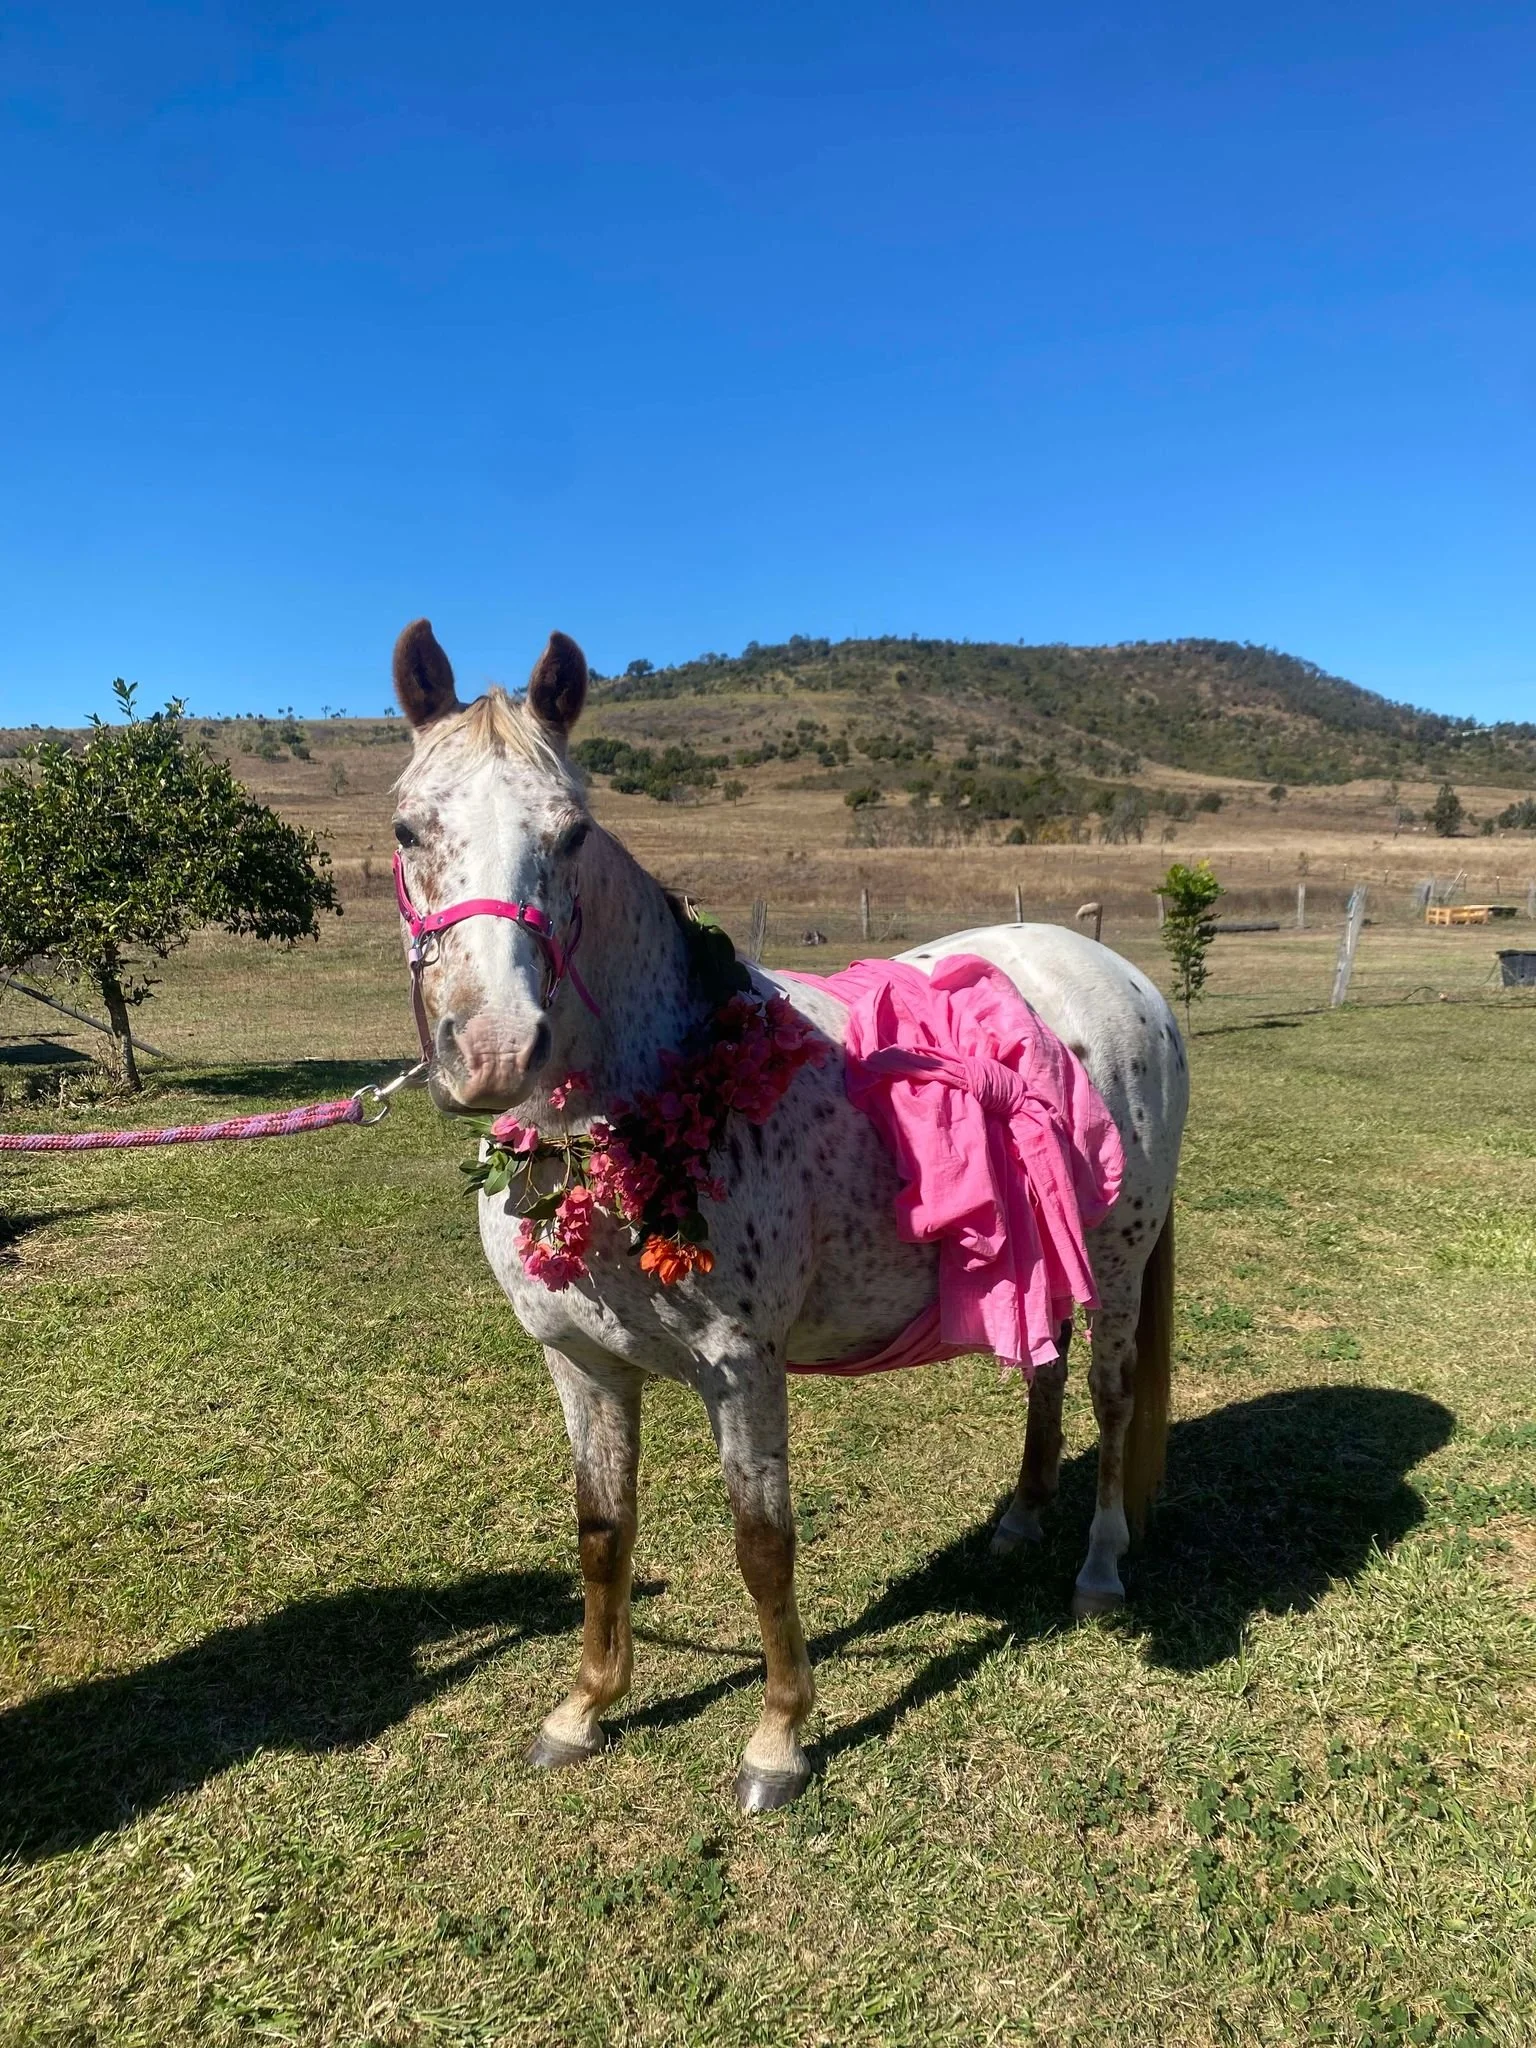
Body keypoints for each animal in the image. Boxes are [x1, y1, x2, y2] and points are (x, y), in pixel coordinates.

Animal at [388, 619, 1189, 1812]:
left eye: (570, 834)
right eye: (409, 827)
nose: (491, 1051)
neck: (641, 1102)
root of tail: (1126, 977)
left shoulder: (740, 1366)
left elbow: (762, 1543)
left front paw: (778, 1737)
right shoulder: (581, 1362)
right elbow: (601, 1531)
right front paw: (585, 1708)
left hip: (1124, 1263)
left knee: (1110, 1399)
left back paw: (1097, 1568)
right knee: (1043, 1373)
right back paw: (1019, 1518)